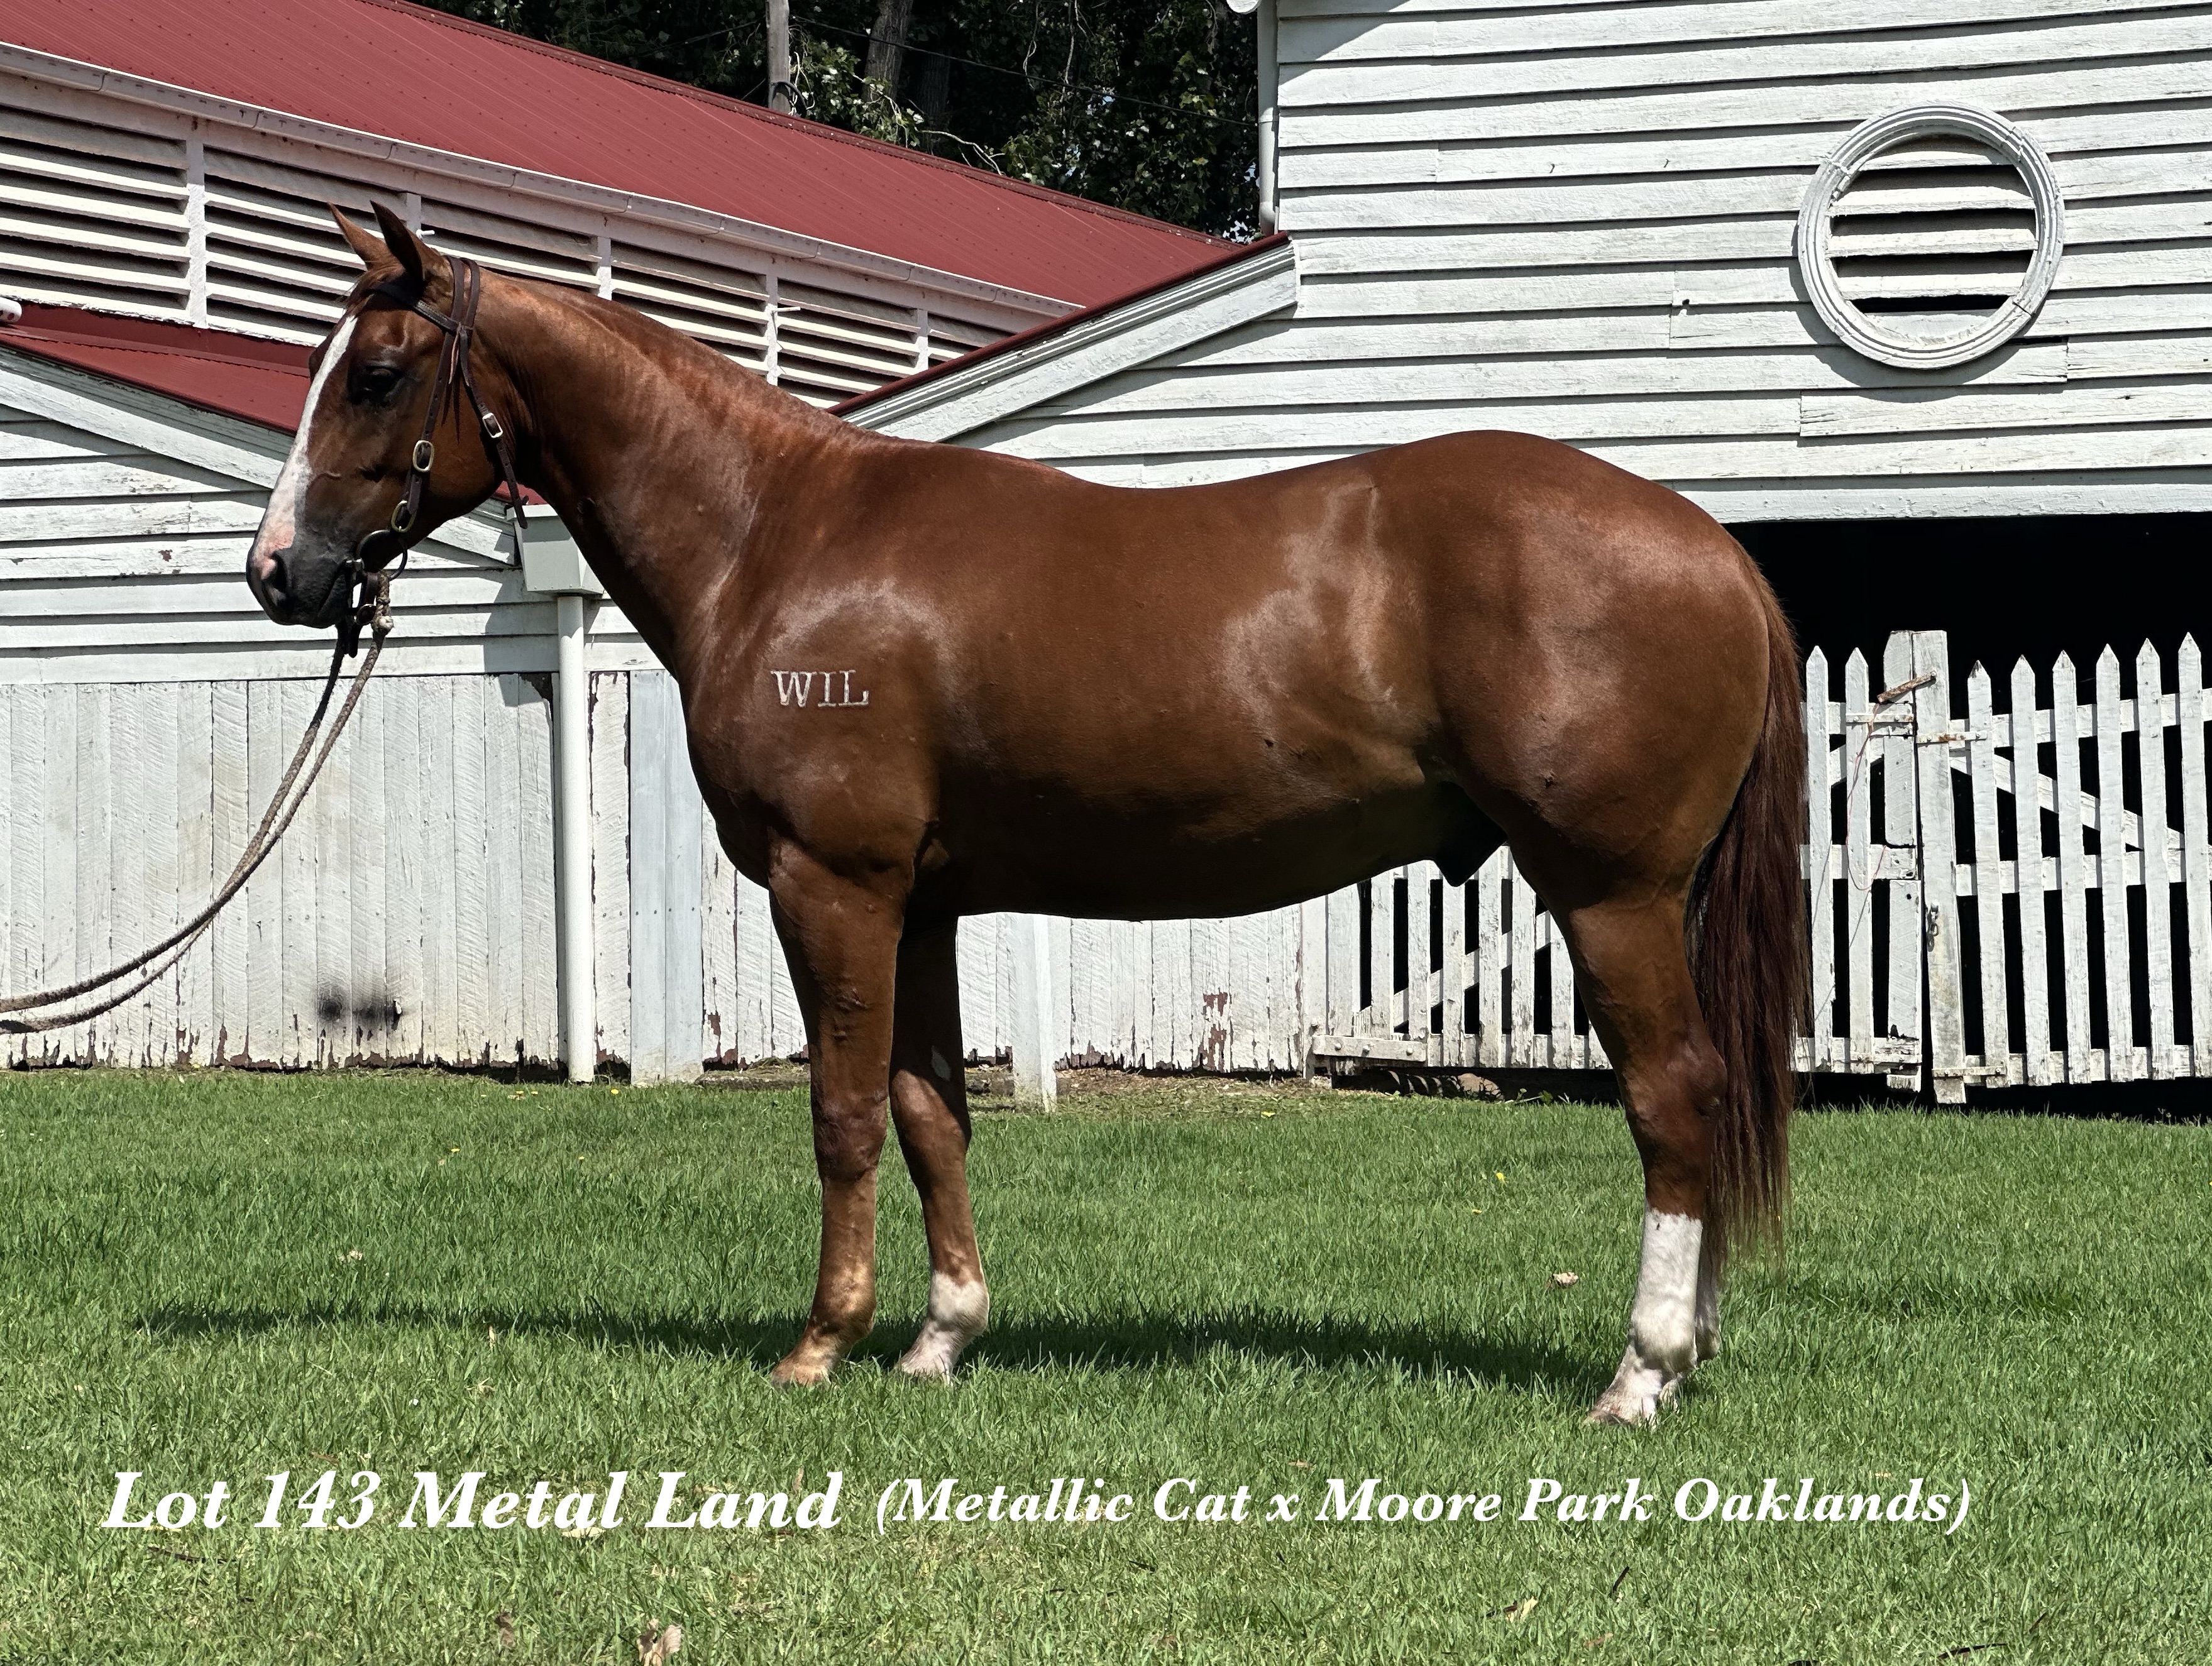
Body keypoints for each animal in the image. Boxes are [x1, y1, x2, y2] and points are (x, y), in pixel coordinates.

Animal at [245, 203, 1805, 1425]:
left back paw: (1637, 1370)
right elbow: (931, 1109)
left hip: (1607, 894)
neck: (777, 533)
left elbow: (842, 1112)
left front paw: (819, 1342)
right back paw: (1684, 1349)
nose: (277, 569)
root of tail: (1713, 550)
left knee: (1673, 1097)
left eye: (374, 374)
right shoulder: (923, 900)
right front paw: (940, 1338)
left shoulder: (833, 883)